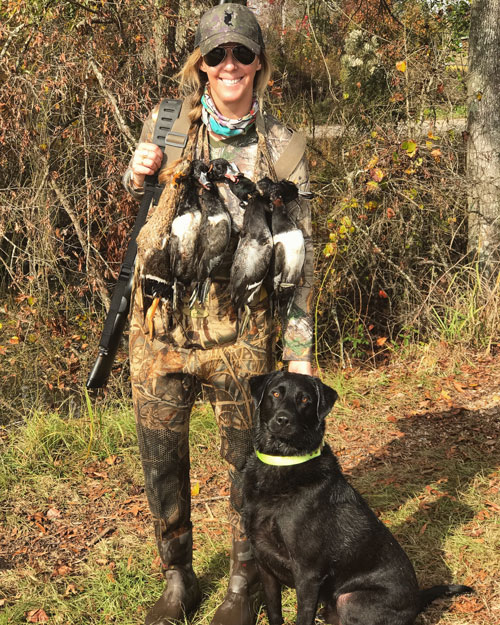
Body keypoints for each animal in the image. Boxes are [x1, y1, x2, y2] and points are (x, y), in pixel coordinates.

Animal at [243, 370, 472, 624]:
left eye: (305, 400)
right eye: (275, 393)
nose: (283, 420)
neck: (281, 464)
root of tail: (418, 600)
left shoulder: (307, 573)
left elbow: (302, 617)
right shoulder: (264, 563)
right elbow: (274, 610)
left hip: (350, 599)